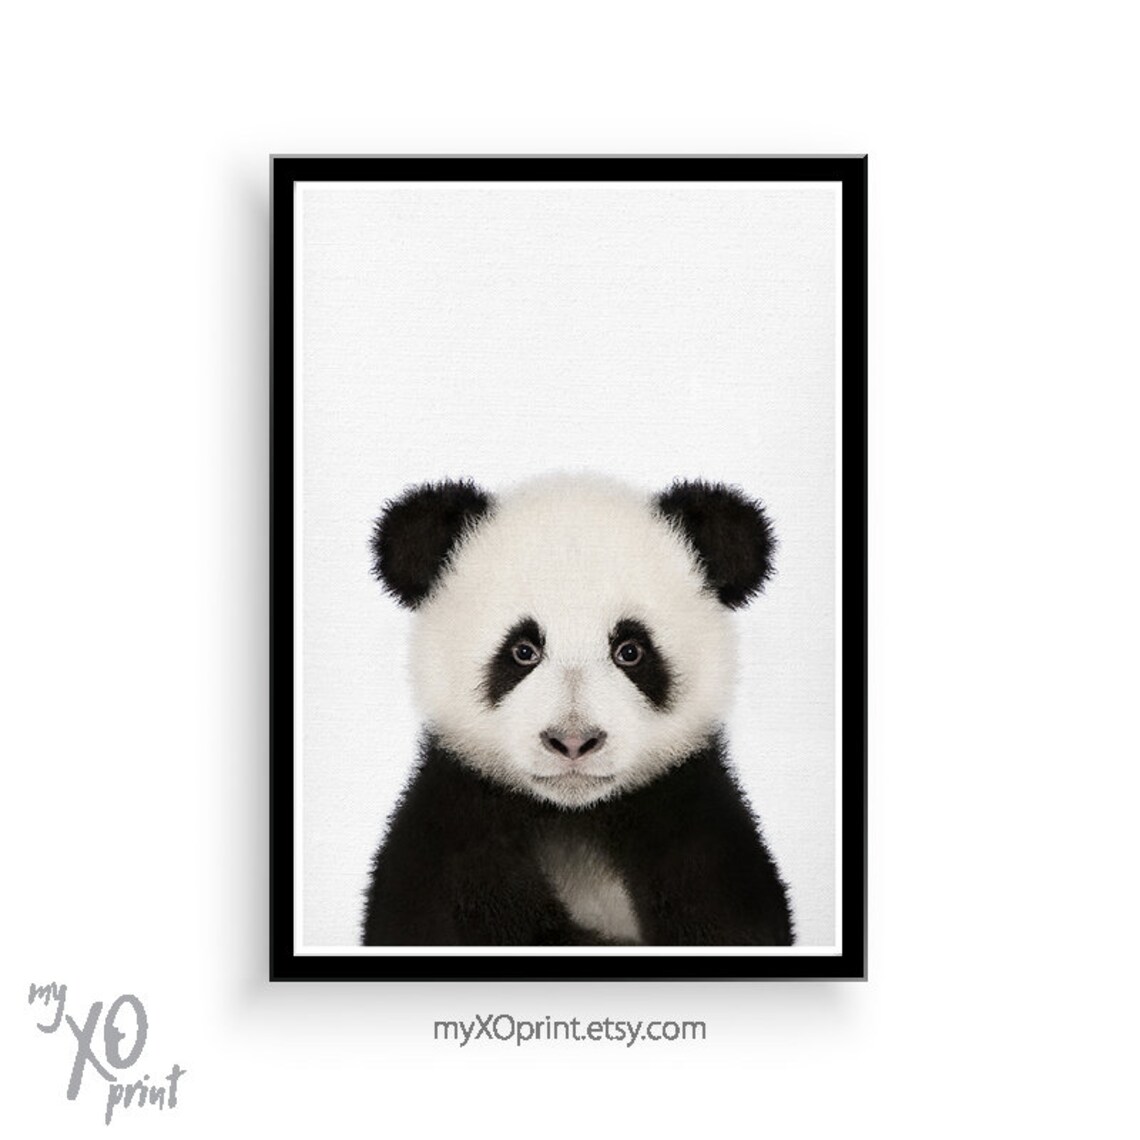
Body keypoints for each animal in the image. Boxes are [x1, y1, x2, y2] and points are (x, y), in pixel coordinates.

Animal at [361, 473, 793, 946]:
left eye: (630, 651)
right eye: (523, 651)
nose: (572, 741)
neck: (573, 815)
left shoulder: (692, 821)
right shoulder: (453, 829)